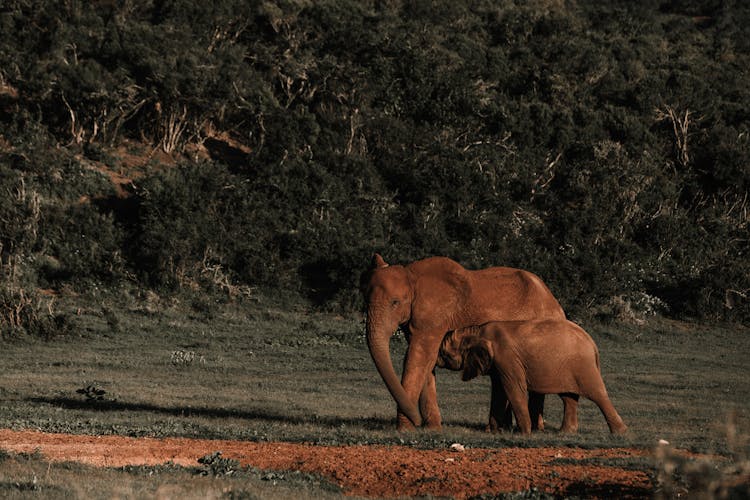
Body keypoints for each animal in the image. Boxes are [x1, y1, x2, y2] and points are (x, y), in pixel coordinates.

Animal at [362, 254, 564, 430]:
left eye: (395, 303)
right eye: (365, 300)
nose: (417, 421)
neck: (412, 276)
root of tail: (555, 303)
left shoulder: (433, 317)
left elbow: (418, 357)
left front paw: (405, 429)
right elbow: (424, 360)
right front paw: (433, 428)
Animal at [438, 320, 632, 434]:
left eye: (445, 354)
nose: (436, 361)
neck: (476, 331)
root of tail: (592, 343)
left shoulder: (506, 357)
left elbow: (514, 388)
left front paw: (525, 433)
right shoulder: (497, 363)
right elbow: (499, 391)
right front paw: (492, 432)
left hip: (583, 366)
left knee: (597, 394)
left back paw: (620, 433)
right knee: (568, 397)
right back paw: (565, 433)